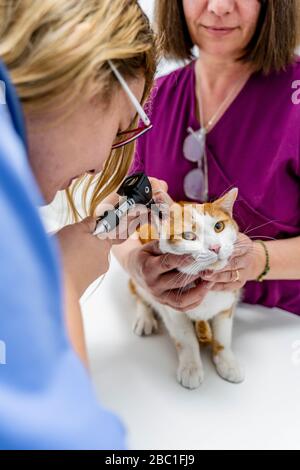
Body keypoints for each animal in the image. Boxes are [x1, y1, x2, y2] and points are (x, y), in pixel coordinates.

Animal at [129, 187, 244, 390]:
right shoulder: (172, 311)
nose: (215, 247)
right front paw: (191, 366)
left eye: (219, 227)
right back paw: (145, 317)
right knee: (137, 292)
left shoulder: (228, 300)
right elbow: (185, 338)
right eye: (188, 236)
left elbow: (223, 334)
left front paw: (227, 360)